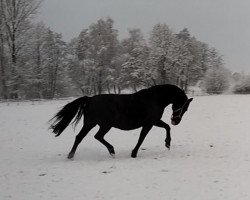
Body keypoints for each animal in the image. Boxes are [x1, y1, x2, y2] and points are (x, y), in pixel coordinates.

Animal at [49, 83, 193, 159]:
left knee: (80, 137)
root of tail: (90, 99)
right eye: (184, 107)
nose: (176, 121)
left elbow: (167, 127)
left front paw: (167, 143)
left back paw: (71, 155)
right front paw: (134, 153)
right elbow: (142, 138)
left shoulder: (154, 121)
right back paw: (112, 150)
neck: (155, 99)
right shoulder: (149, 123)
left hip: (90, 124)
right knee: (97, 136)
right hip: (104, 125)